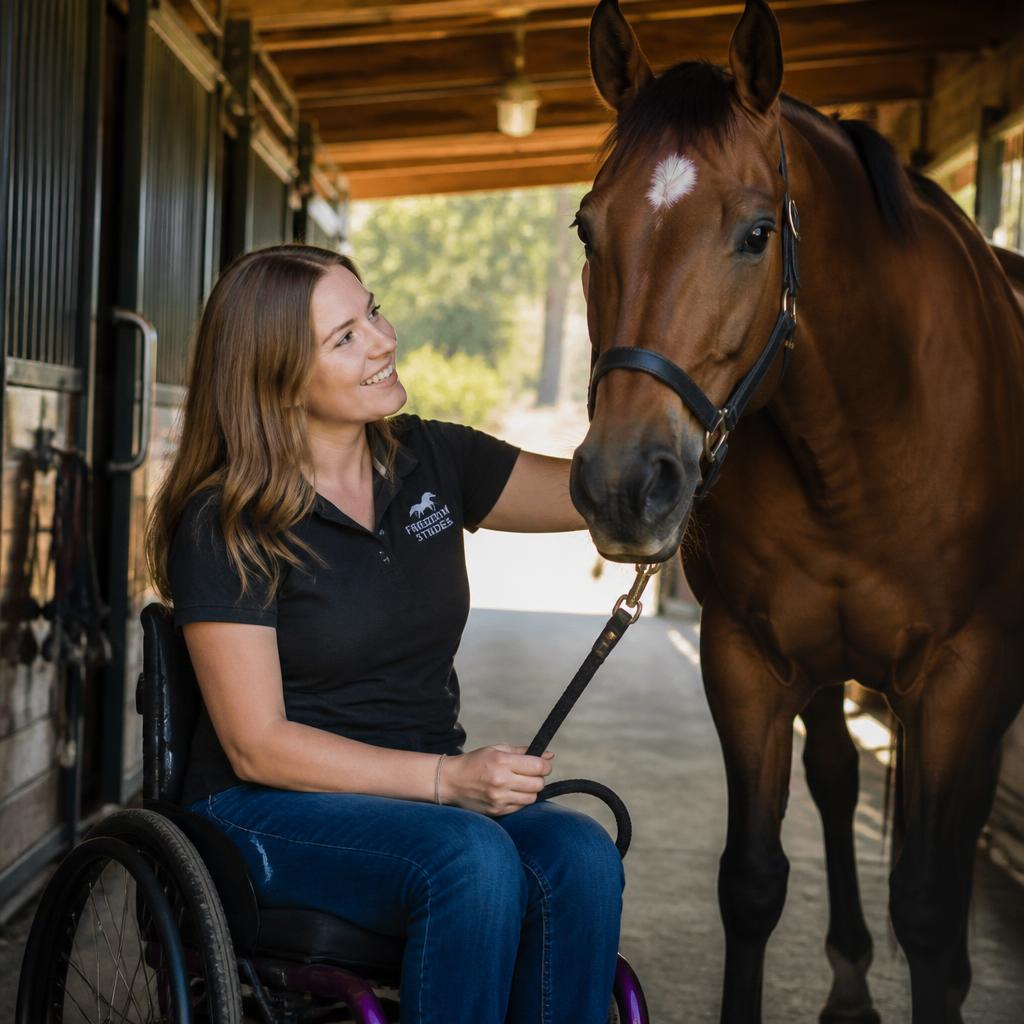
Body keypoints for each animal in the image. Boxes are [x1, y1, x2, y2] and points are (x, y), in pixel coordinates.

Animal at [569, 1, 1024, 1021]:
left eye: (754, 234)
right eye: (586, 228)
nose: (624, 482)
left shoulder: (965, 675)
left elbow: (929, 903)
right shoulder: (748, 660)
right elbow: (751, 881)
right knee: (838, 777)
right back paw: (851, 978)